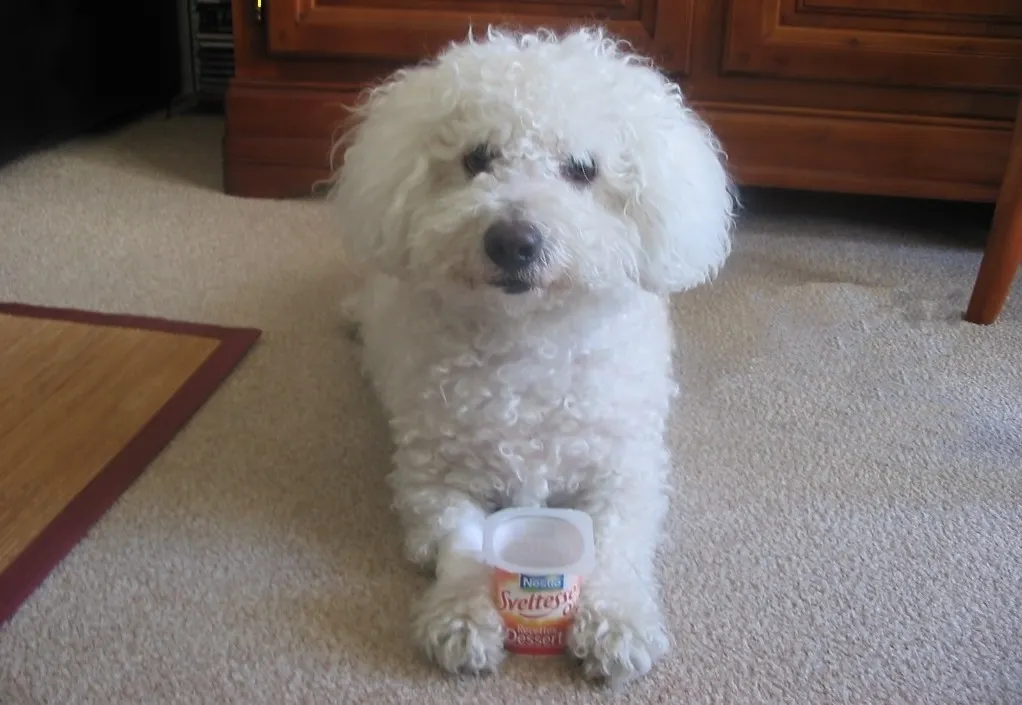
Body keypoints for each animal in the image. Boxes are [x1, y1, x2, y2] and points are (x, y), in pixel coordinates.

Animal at [329, 26, 735, 686]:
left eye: (583, 169)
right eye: (476, 159)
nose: (513, 242)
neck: (526, 341)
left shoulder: (625, 472)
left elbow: (616, 546)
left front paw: (616, 622)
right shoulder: (433, 477)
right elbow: (463, 544)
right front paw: (463, 617)